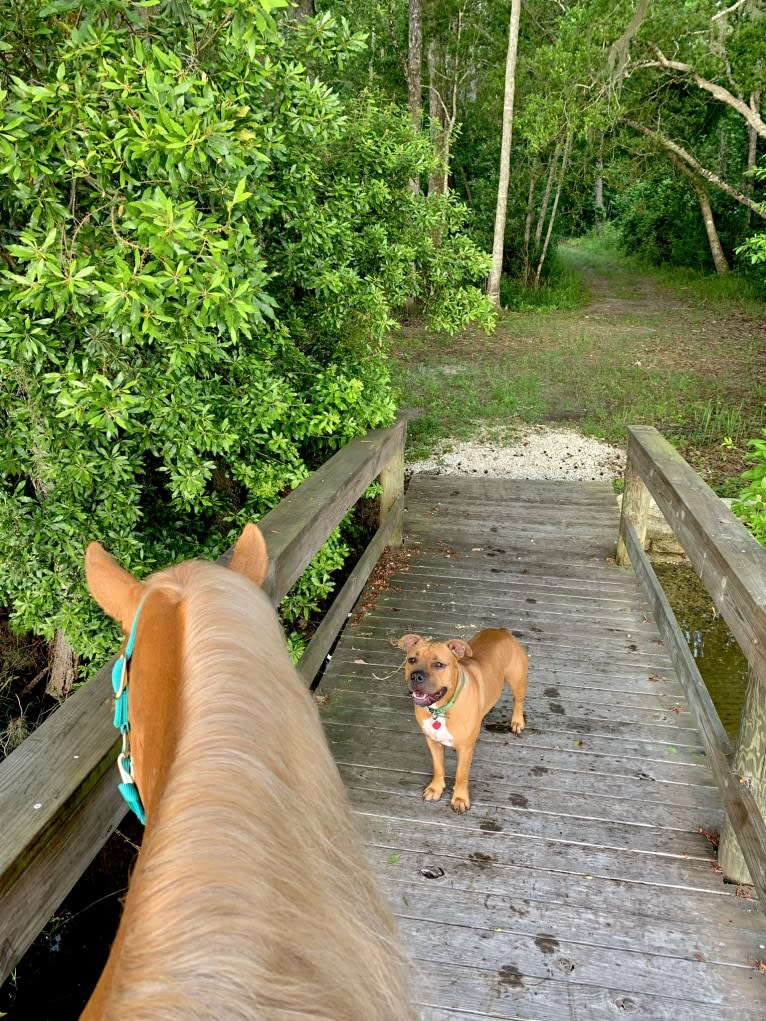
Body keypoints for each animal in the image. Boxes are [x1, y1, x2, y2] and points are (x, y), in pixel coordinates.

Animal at [396, 620, 527, 812]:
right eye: (412, 660)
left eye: (438, 664)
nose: (416, 676)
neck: (441, 709)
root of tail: (502, 631)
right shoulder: (432, 741)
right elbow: (438, 767)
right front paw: (436, 788)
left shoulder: (465, 749)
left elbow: (461, 774)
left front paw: (459, 798)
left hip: (517, 680)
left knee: (518, 701)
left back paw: (517, 721)